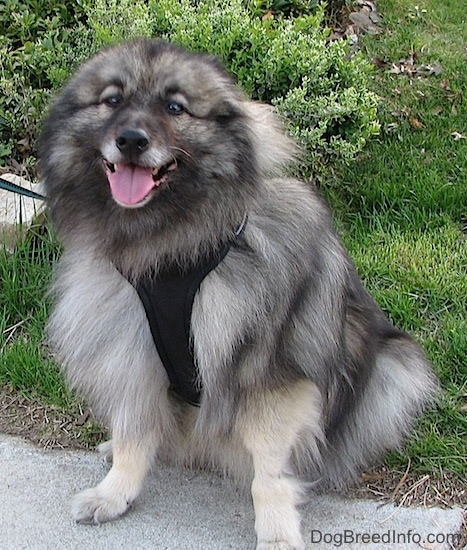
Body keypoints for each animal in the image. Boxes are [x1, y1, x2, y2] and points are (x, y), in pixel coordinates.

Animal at [38, 40, 436, 550]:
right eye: (112, 100)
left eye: (175, 107)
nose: (130, 140)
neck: (172, 247)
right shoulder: (130, 348)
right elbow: (133, 434)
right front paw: (115, 492)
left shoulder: (267, 376)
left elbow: (268, 474)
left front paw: (278, 533)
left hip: (398, 368)